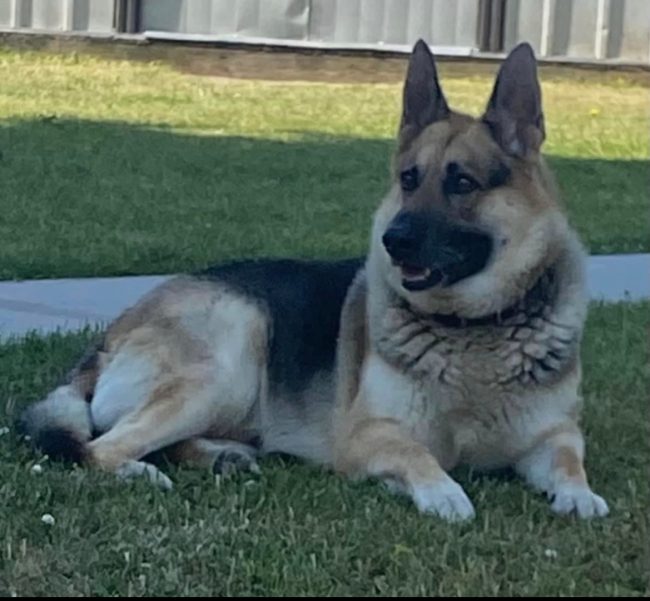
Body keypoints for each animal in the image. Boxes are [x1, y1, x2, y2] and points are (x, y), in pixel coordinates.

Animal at [19, 40, 608, 521]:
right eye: (409, 179)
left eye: (461, 182)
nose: (393, 240)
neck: (474, 330)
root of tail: (110, 337)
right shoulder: (367, 437)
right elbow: (418, 456)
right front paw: (445, 493)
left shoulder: (554, 435)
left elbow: (568, 462)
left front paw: (579, 496)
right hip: (233, 350)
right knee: (100, 449)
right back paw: (145, 471)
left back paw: (221, 456)